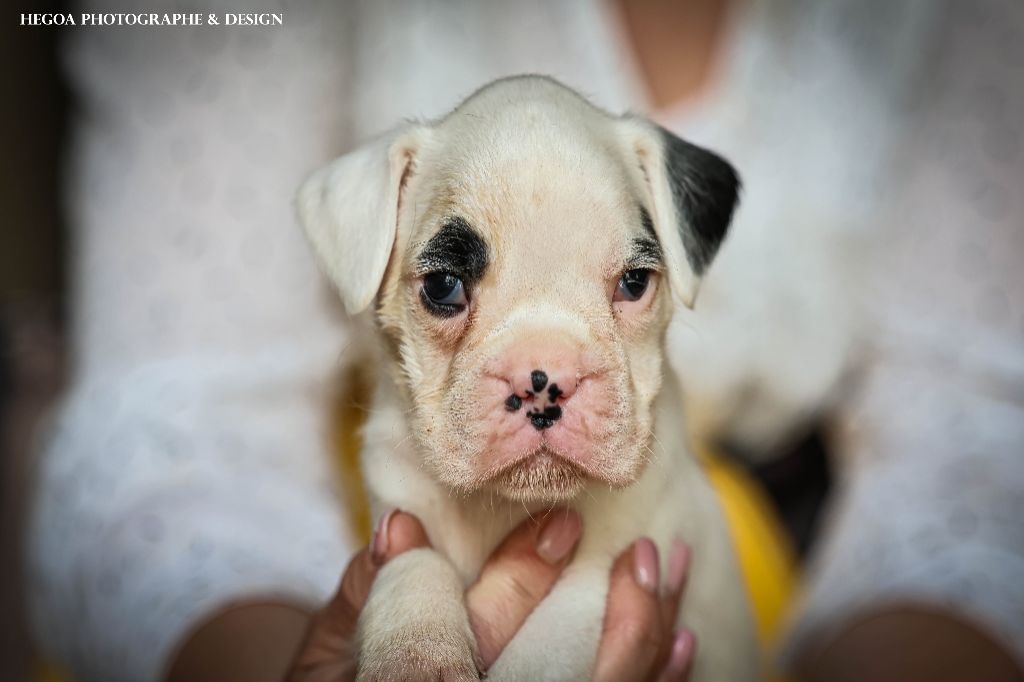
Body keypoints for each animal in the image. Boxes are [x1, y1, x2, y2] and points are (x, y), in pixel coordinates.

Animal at [297, 75, 759, 681]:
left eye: (635, 283)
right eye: (443, 286)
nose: (543, 378)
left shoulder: (601, 577)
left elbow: (537, 655)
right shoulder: (395, 522)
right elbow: (413, 563)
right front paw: (417, 652)